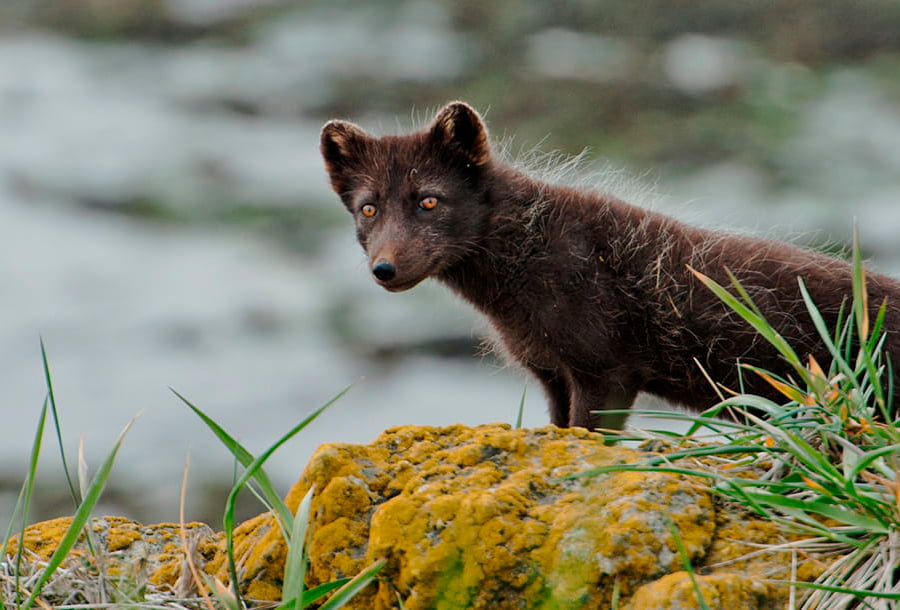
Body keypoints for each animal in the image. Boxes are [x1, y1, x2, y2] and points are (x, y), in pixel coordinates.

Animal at [320, 101, 896, 428]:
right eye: (369, 208)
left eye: (429, 201)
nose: (385, 269)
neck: (533, 255)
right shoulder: (551, 375)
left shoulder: (606, 372)